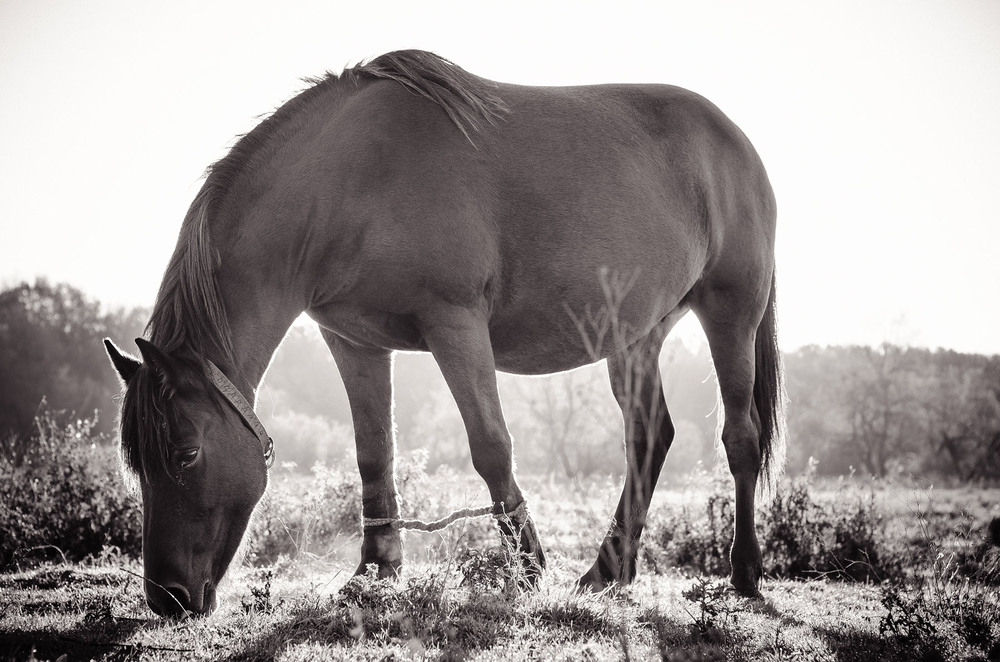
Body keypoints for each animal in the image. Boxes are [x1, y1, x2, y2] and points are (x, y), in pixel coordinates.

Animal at [105, 50, 784, 616]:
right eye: (136, 459)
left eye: (187, 453)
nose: (167, 597)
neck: (352, 177)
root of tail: (738, 145)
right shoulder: (355, 342)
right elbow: (374, 453)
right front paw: (375, 572)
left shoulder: (454, 324)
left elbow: (491, 446)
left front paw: (529, 569)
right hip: (637, 337)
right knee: (648, 436)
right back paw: (608, 570)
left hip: (730, 316)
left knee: (741, 437)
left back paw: (745, 574)